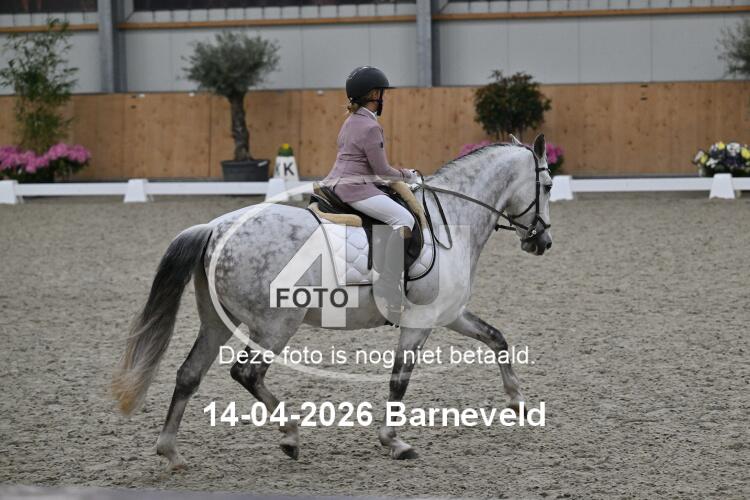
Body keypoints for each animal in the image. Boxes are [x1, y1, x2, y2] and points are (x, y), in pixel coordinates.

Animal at [112, 134, 553, 470]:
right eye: (547, 186)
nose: (543, 241)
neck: (452, 222)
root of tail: (215, 229)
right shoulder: (420, 320)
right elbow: (399, 379)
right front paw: (394, 442)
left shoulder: (450, 313)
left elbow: (497, 338)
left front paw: (519, 404)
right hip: (276, 325)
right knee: (247, 374)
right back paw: (289, 435)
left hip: (217, 322)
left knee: (189, 374)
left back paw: (171, 452)